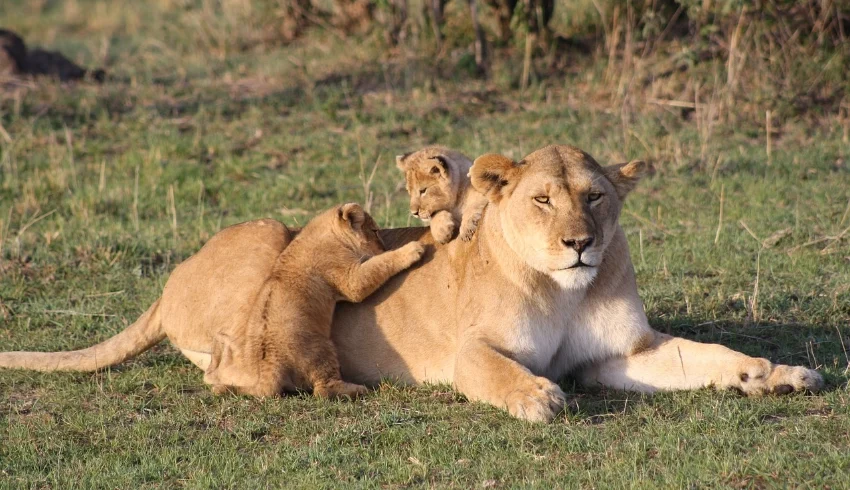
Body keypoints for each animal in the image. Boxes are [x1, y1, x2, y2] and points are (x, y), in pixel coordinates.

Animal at [203, 203, 425, 399]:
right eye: (375, 231)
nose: (384, 247)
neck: (322, 232)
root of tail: (270, 366)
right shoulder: (349, 279)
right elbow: (378, 266)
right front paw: (413, 249)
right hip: (322, 349)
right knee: (323, 390)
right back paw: (358, 389)